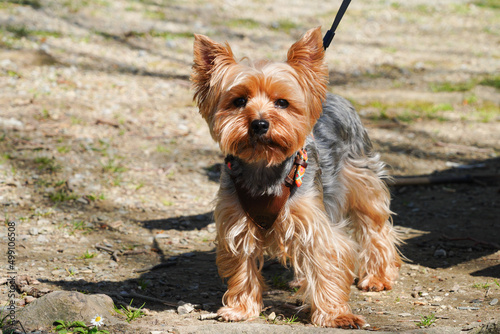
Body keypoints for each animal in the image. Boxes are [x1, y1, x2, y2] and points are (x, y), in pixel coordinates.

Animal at [191, 26, 402, 328]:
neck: (265, 168)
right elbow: (242, 267)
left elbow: (326, 263)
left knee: (375, 228)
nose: (259, 123)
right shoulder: (236, 222)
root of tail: (331, 96)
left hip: (362, 181)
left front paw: (336, 315)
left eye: (282, 103)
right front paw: (240, 309)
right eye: (239, 101)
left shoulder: (314, 221)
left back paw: (378, 277)